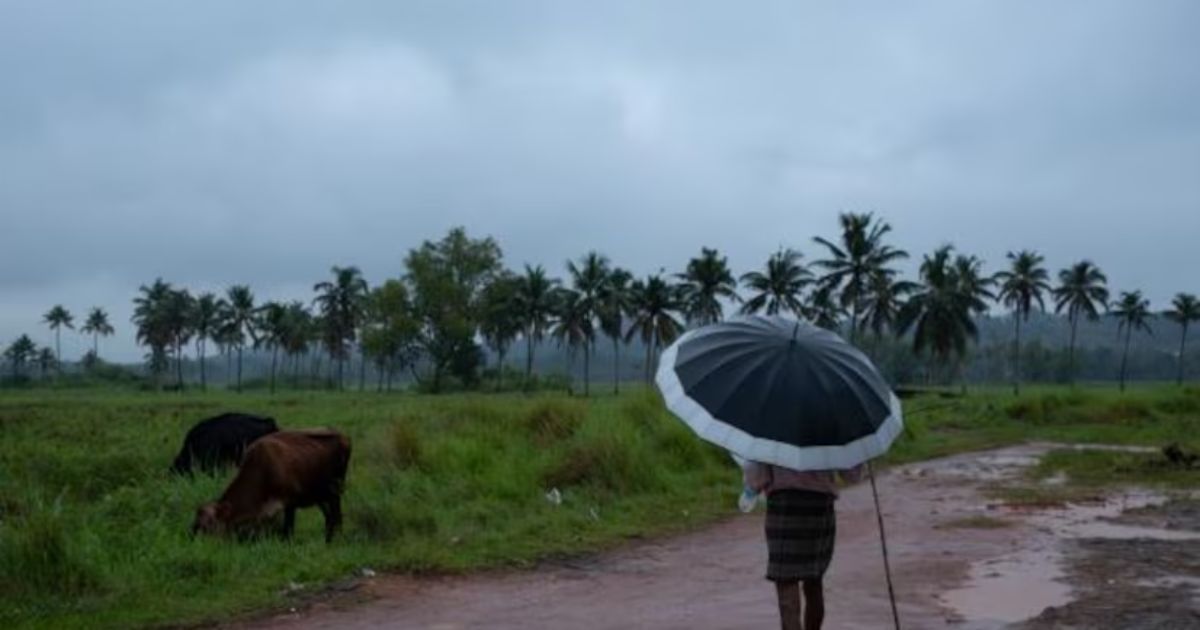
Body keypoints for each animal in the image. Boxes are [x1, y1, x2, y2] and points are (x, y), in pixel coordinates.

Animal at [192, 427, 350, 540]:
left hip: (335, 492)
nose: (199, 542)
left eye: (210, 525)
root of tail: (343, 438)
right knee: (329, 518)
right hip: (320, 496)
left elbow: (287, 531)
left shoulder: (290, 503)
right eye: (197, 525)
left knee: (337, 517)